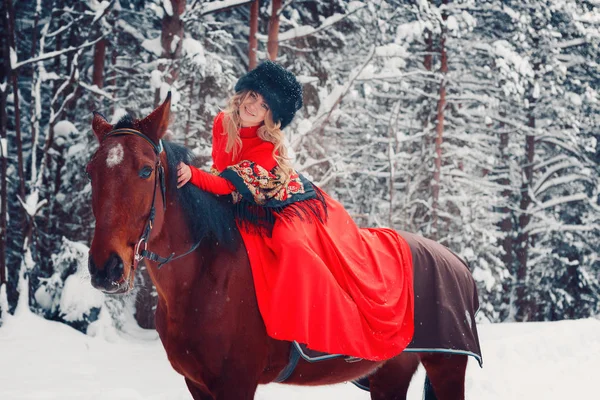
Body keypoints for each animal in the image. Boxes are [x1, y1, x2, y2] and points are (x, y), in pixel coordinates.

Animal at [86, 94, 480, 400]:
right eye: (91, 171)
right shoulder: (196, 384)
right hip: (390, 373)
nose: (106, 269)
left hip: (447, 365)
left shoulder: (236, 383)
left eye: (146, 170)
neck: (204, 274)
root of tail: (458, 262)